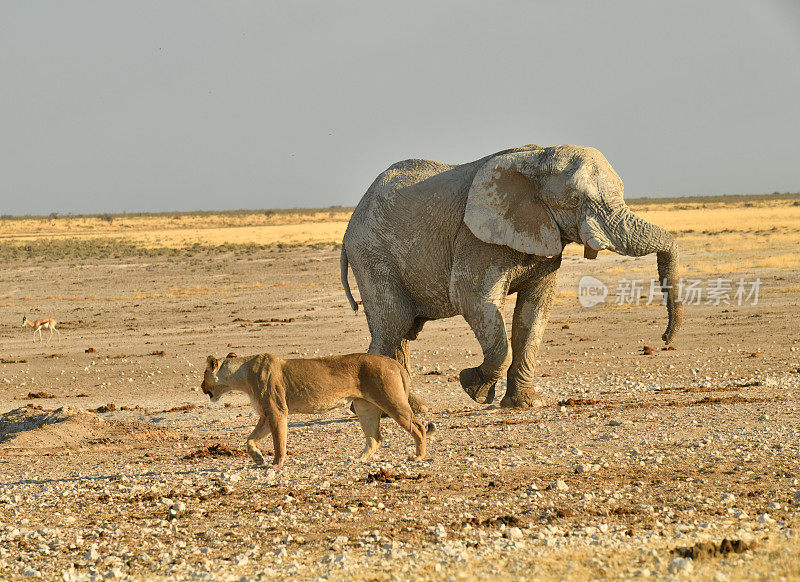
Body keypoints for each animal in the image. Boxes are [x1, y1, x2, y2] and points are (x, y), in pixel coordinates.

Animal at [340, 146, 684, 410]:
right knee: (392, 326)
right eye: (574, 199)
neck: (537, 159)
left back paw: (413, 409)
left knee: (401, 333)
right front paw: (473, 389)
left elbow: (534, 311)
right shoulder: (475, 236)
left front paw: (524, 404)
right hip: (371, 254)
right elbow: (473, 300)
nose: (664, 340)